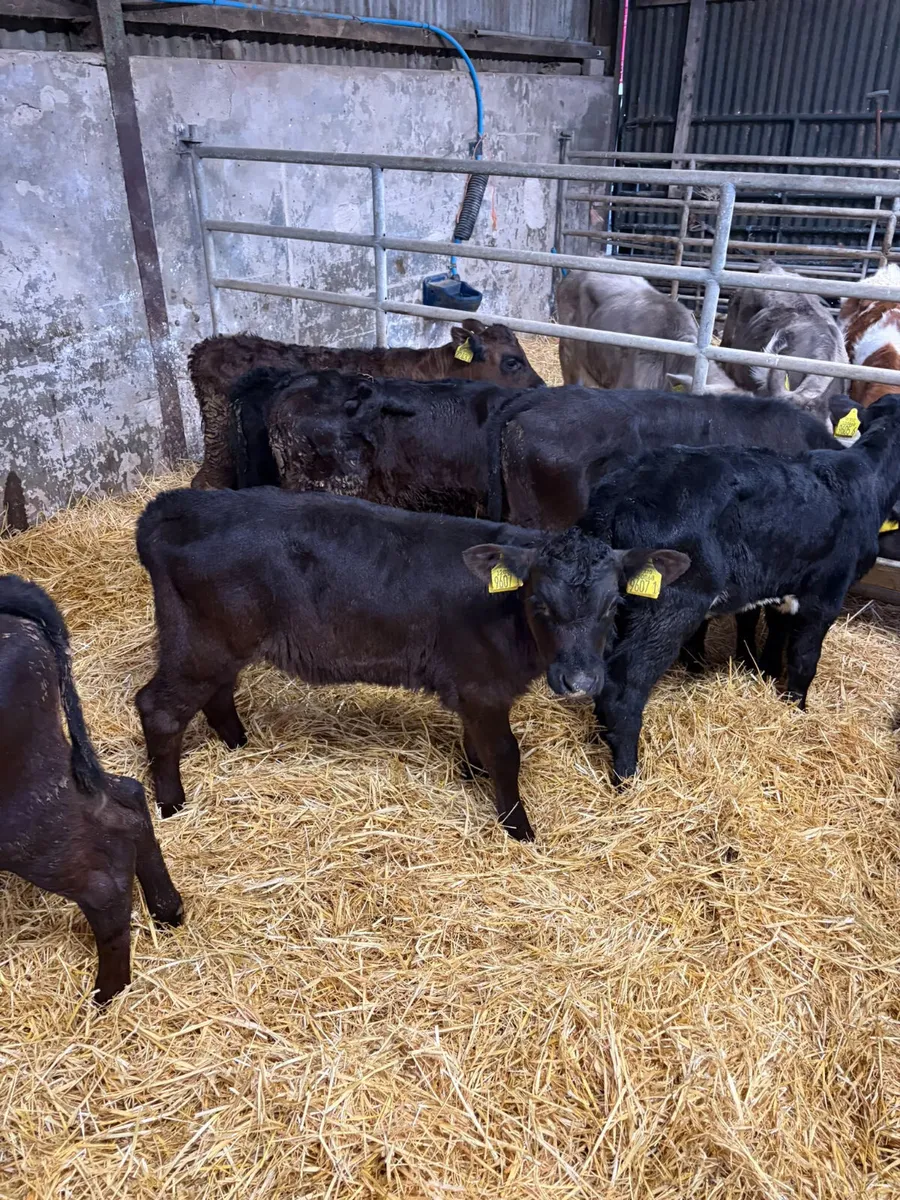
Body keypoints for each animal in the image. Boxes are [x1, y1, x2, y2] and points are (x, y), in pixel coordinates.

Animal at [134, 487, 687, 841]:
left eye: (614, 605)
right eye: (540, 605)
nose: (581, 681)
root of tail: (171, 505)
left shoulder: (473, 692)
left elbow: (477, 746)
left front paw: (470, 773)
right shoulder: (482, 685)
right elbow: (505, 754)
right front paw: (517, 828)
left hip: (220, 643)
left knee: (217, 692)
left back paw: (237, 743)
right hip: (201, 642)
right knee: (158, 708)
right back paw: (171, 803)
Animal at [576, 393, 900, 784]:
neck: (867, 476)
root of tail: (623, 490)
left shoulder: (784, 583)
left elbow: (776, 634)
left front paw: (768, 676)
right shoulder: (826, 593)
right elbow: (804, 657)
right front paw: (797, 709)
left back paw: (601, 737)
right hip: (670, 606)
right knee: (624, 684)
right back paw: (627, 775)